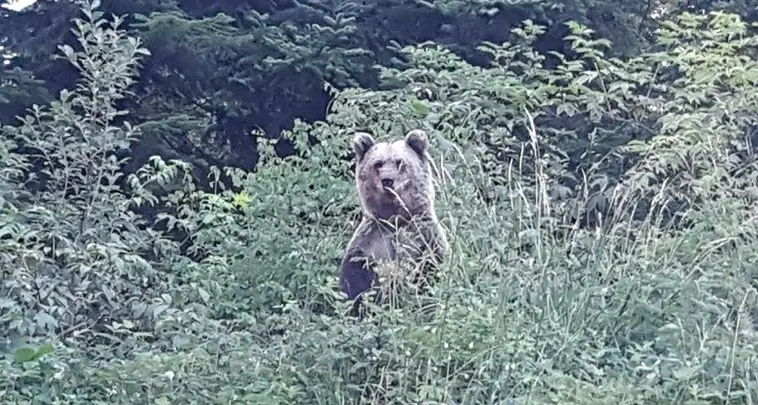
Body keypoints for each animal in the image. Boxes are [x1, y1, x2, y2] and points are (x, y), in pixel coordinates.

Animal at [338, 129, 448, 315]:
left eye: (399, 162)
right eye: (378, 164)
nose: (387, 180)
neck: (395, 218)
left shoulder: (423, 235)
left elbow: (432, 269)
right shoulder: (371, 241)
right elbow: (356, 279)